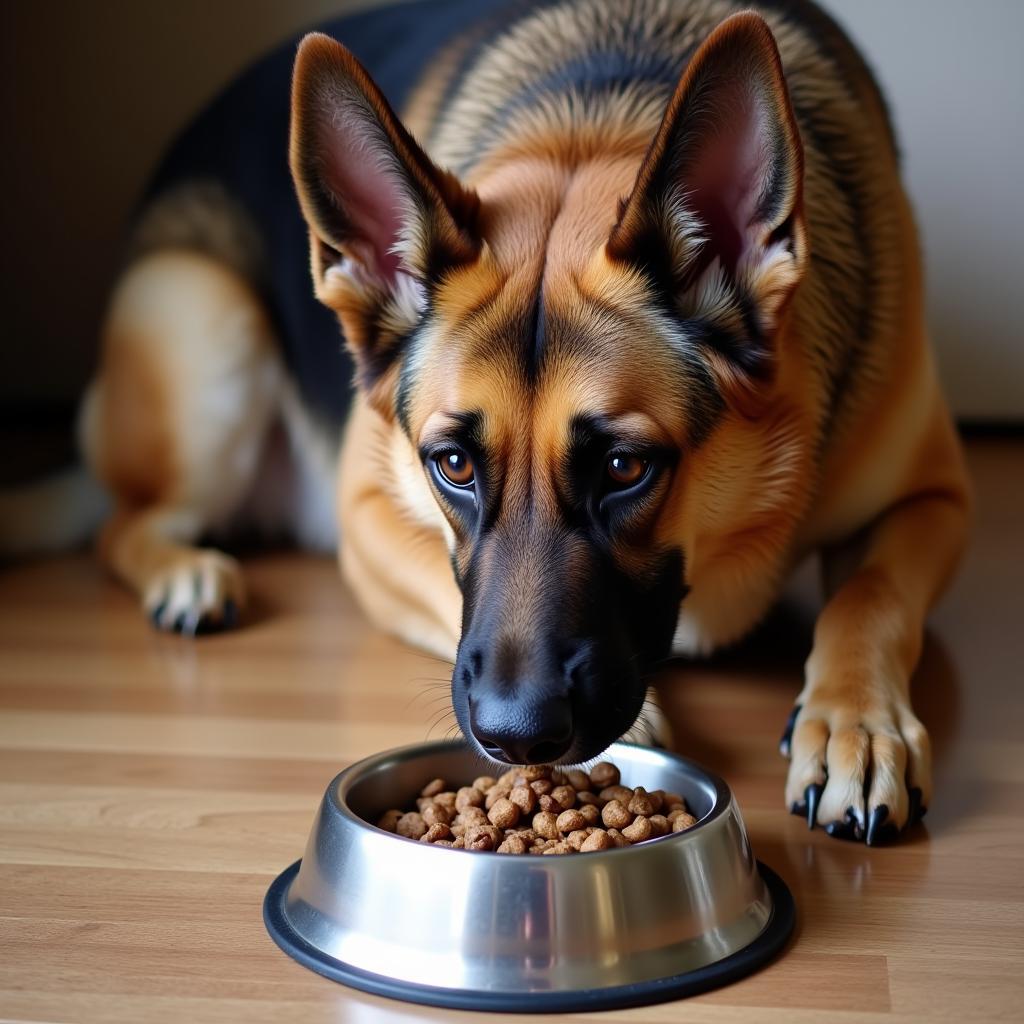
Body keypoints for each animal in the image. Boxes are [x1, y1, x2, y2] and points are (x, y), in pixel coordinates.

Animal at [25, 0, 974, 843]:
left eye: (625, 469)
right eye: (452, 465)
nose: (519, 738)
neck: (592, 126)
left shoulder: (933, 502)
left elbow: (867, 598)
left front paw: (856, 726)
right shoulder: (366, 521)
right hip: (213, 325)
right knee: (122, 524)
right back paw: (185, 574)